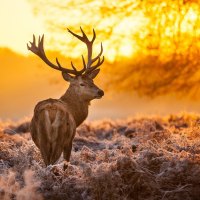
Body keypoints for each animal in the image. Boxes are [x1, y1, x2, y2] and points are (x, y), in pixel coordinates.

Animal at [27, 27, 104, 166]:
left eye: (92, 81)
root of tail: (51, 112)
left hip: (42, 141)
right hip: (60, 138)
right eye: (82, 83)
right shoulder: (70, 141)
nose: (100, 92)